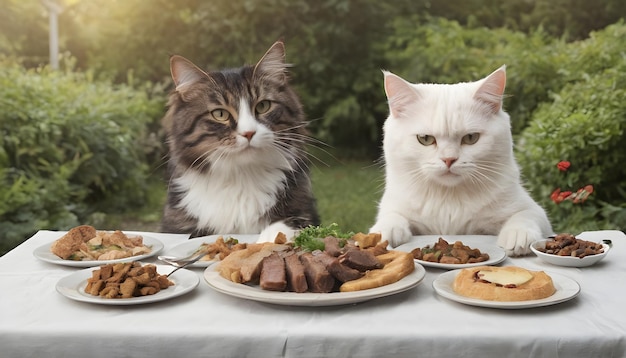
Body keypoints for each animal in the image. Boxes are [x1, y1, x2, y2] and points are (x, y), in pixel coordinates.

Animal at [161, 42, 320, 243]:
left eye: (263, 106)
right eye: (220, 114)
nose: (249, 133)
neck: (241, 176)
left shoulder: (305, 212)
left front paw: (271, 237)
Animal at [368, 65, 548, 256]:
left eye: (471, 138)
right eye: (425, 139)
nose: (449, 159)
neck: (449, 199)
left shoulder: (534, 210)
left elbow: (526, 215)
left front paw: (518, 235)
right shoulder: (392, 206)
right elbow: (391, 216)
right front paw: (384, 233)